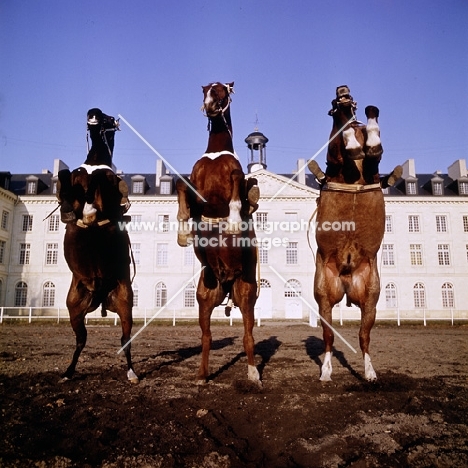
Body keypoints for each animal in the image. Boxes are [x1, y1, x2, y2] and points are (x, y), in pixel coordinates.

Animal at [176, 82, 262, 386]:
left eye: (222, 91)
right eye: (205, 91)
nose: (210, 106)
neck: (216, 152)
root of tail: (226, 283)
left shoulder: (231, 183)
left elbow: (239, 186)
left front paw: (235, 221)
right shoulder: (197, 187)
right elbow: (181, 185)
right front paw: (182, 230)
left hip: (247, 296)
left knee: (248, 337)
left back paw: (253, 374)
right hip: (205, 299)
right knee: (207, 337)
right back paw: (202, 375)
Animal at [308, 86, 384, 382]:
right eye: (333, 101)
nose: (343, 91)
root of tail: (348, 280)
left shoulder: (372, 167)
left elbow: (374, 153)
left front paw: (369, 127)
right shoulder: (336, 157)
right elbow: (344, 145)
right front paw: (352, 138)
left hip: (370, 300)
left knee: (364, 337)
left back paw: (370, 373)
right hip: (325, 298)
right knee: (329, 337)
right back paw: (326, 372)